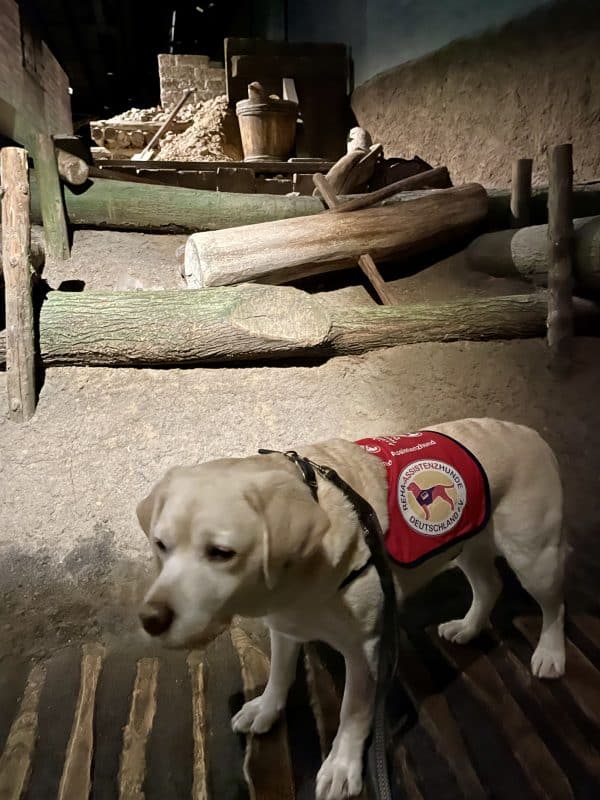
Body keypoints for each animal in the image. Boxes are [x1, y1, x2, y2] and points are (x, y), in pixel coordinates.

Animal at [137, 418, 568, 800]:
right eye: (161, 545)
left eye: (221, 553)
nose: (150, 619)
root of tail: (526, 430)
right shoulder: (286, 626)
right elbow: (279, 674)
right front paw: (266, 709)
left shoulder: (366, 651)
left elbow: (353, 714)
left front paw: (342, 767)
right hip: (468, 546)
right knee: (489, 585)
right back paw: (469, 627)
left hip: (533, 557)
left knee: (554, 606)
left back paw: (550, 653)